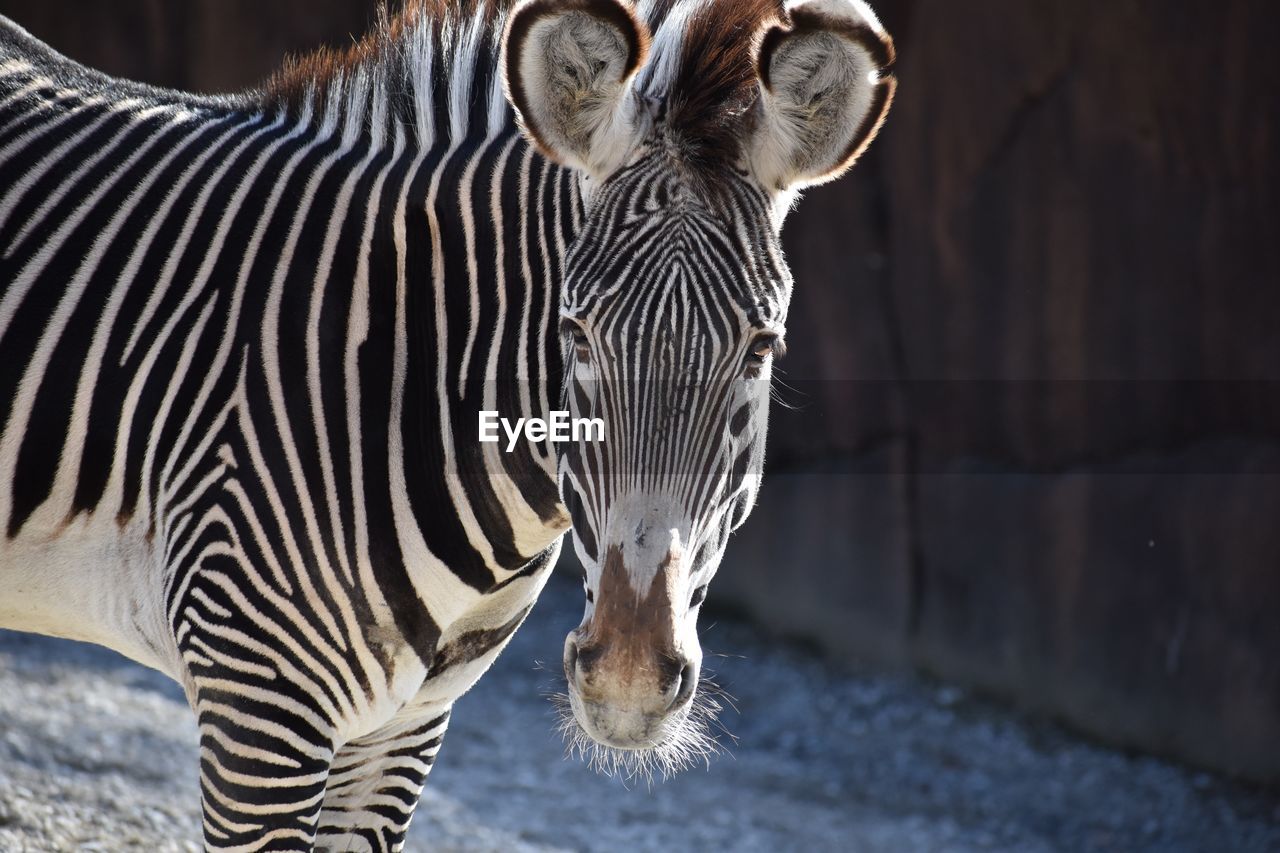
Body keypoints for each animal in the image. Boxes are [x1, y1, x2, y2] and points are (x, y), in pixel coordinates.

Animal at [0, 0, 896, 845]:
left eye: (762, 347)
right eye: (574, 333)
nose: (630, 678)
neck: (393, 370)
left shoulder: (405, 727)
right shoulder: (257, 696)